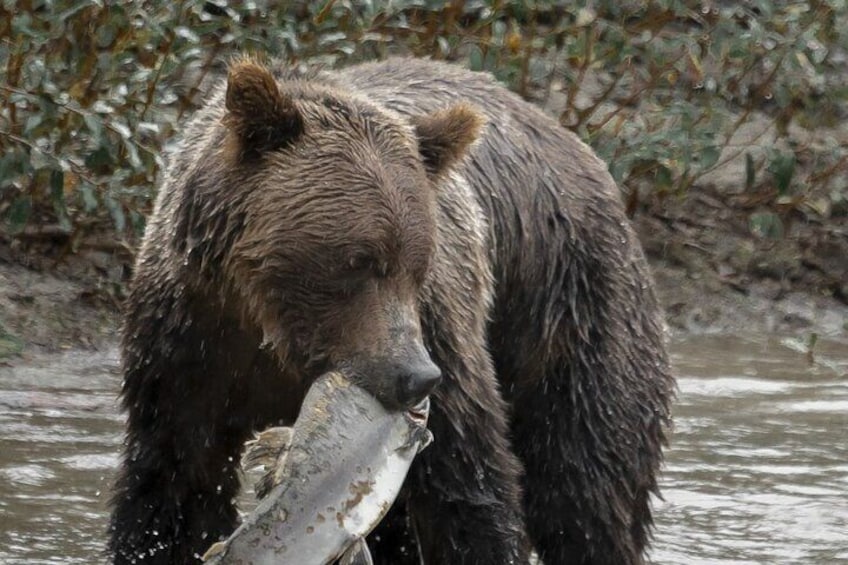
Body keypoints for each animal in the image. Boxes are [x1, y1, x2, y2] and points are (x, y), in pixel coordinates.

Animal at [108, 56, 674, 565]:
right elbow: (176, 486)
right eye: (359, 260)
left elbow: (467, 489)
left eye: (417, 264)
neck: (270, 328)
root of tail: (577, 146)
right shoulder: (188, 342)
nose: (415, 376)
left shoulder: (443, 333)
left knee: (586, 479)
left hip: (572, 303)